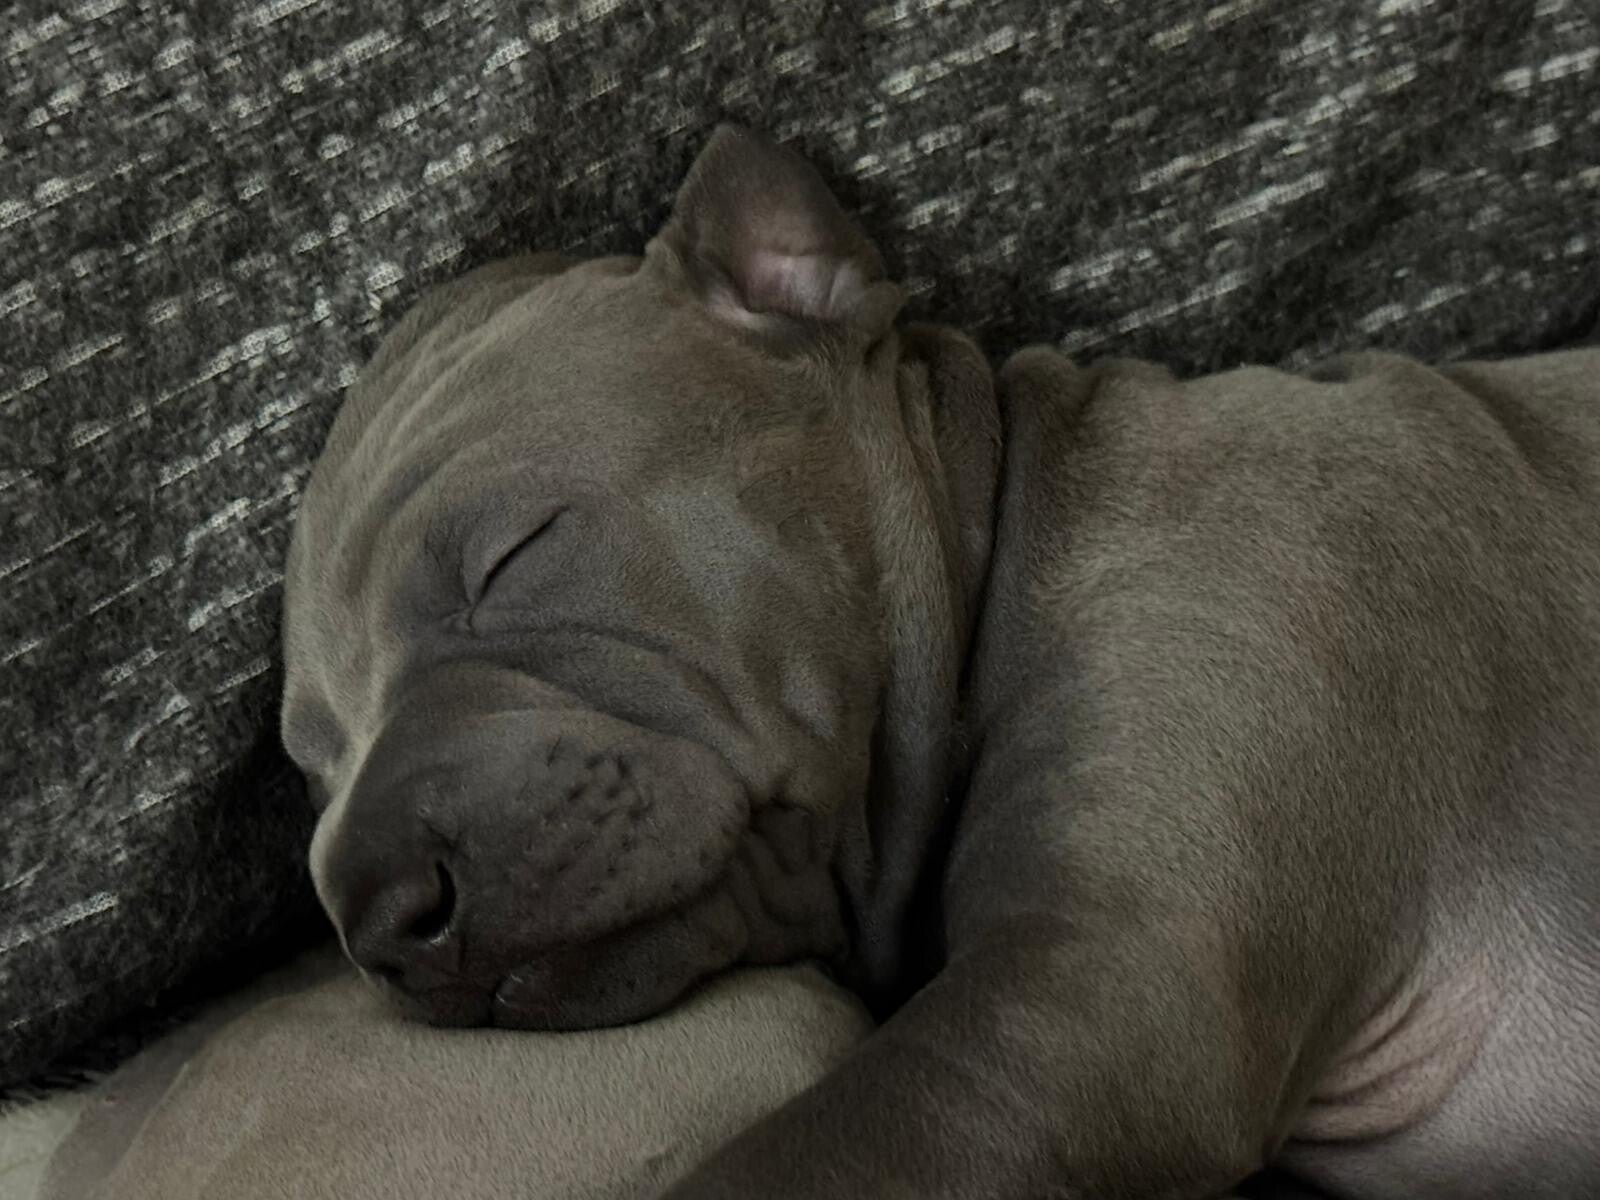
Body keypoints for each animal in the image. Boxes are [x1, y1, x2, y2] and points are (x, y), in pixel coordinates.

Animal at [281, 126, 1600, 1198]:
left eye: (514, 554)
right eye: (314, 763)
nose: (380, 916)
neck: (1021, 531)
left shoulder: (1106, 994)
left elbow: (781, 1170)